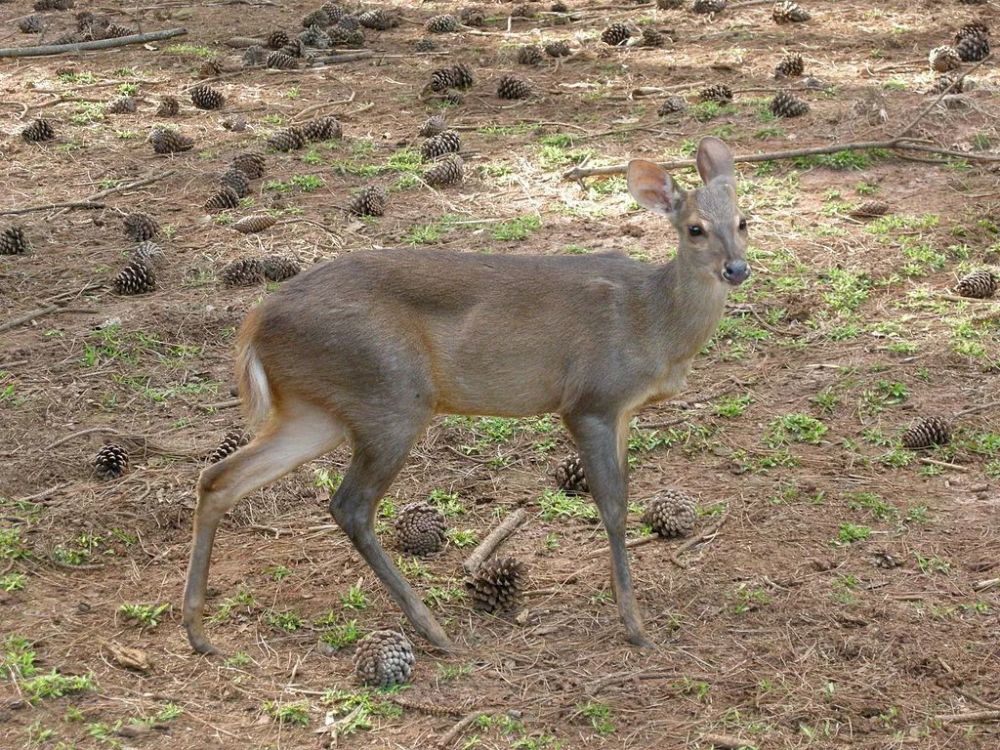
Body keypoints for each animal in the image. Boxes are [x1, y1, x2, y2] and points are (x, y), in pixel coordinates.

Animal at [182, 138, 752, 656]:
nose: (737, 269)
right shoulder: (590, 400)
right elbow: (613, 507)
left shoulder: (624, 412)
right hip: (390, 395)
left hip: (315, 410)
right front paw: (634, 625)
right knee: (349, 506)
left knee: (219, 478)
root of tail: (255, 323)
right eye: (695, 228)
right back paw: (433, 630)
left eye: (744, 220)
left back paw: (199, 633)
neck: (652, 321)